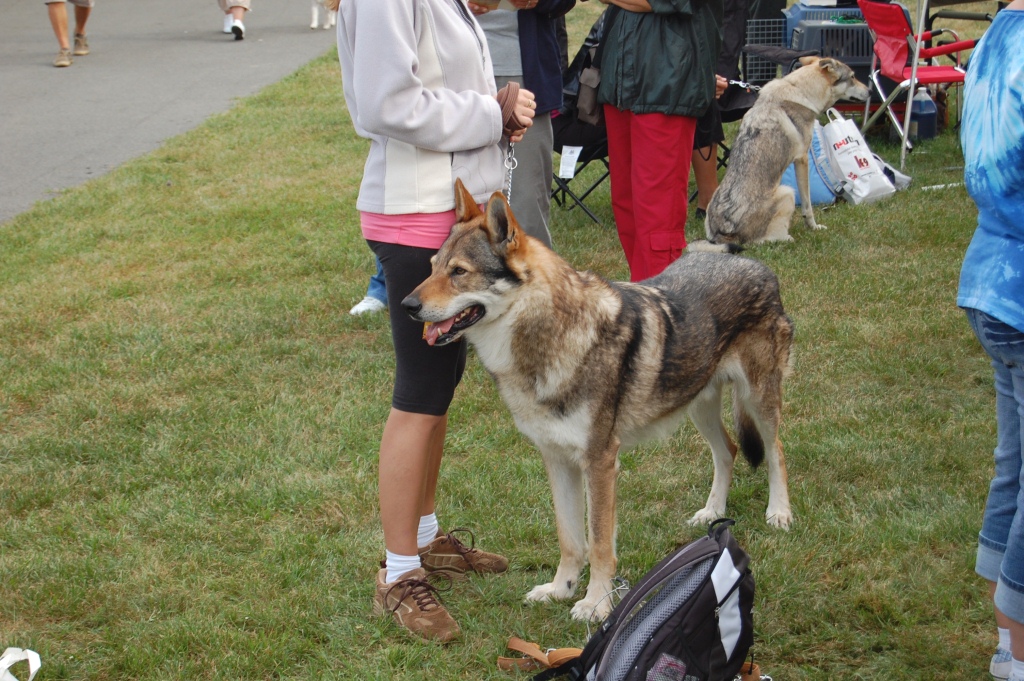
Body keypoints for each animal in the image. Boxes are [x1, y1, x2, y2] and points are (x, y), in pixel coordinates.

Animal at [403, 180, 794, 622]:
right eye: (432, 266)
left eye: (459, 272)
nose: (407, 306)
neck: (550, 338)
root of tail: (751, 262)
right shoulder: (557, 459)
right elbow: (571, 539)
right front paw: (560, 589)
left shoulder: (601, 461)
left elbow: (601, 543)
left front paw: (596, 604)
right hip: (698, 405)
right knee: (728, 450)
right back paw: (711, 513)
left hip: (758, 399)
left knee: (776, 452)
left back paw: (779, 513)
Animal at [692, 57, 868, 250]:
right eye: (852, 76)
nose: (870, 90)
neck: (799, 89)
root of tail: (722, 234)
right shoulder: (802, 159)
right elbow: (807, 206)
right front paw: (813, 227)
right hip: (787, 192)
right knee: (763, 241)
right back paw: (787, 238)